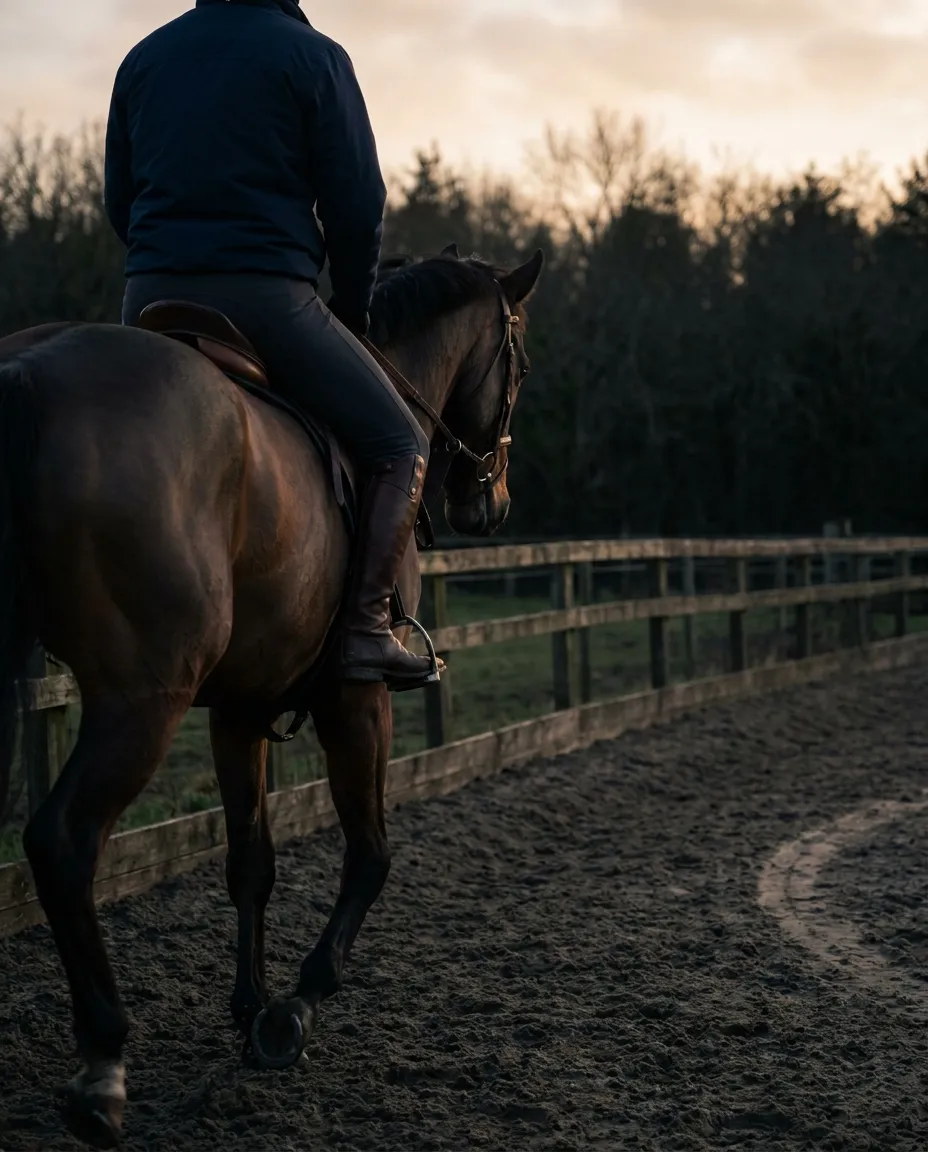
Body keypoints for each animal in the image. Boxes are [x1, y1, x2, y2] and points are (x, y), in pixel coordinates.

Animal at [0, 245, 544, 1147]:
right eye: (521, 362)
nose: (493, 502)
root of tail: (27, 371)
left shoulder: (241, 708)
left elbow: (250, 861)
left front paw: (249, 1003)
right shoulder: (358, 699)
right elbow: (371, 853)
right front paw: (298, 1003)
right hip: (141, 696)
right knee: (63, 841)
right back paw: (102, 1063)